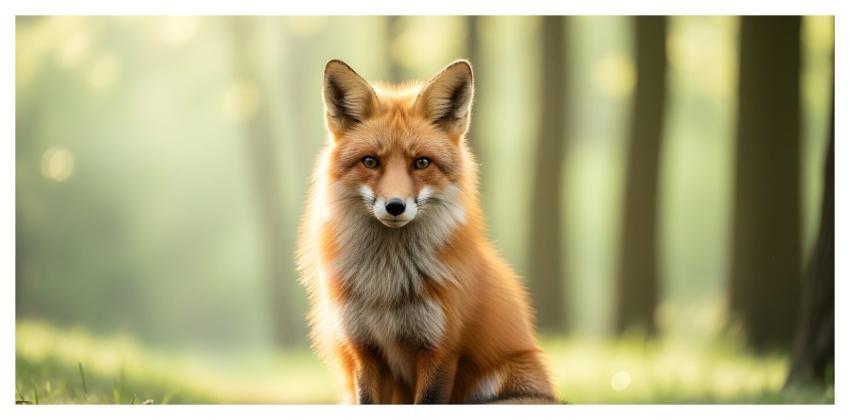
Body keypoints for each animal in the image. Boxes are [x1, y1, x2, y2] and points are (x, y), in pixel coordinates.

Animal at [296, 58, 557, 404]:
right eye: (370, 161)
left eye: (421, 163)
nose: (395, 206)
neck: (387, 285)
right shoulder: (365, 349)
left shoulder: (440, 350)